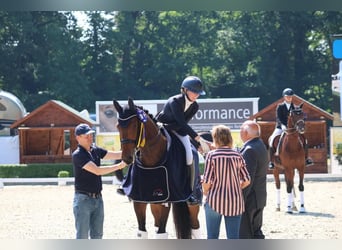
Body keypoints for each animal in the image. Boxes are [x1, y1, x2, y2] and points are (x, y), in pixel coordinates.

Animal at [112, 97, 203, 238]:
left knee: (195, 226)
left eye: (134, 125)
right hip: (154, 204)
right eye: (118, 126)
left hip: (193, 201)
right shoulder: (139, 200)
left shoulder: (167, 200)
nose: (126, 158)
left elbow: (161, 232)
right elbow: (142, 231)